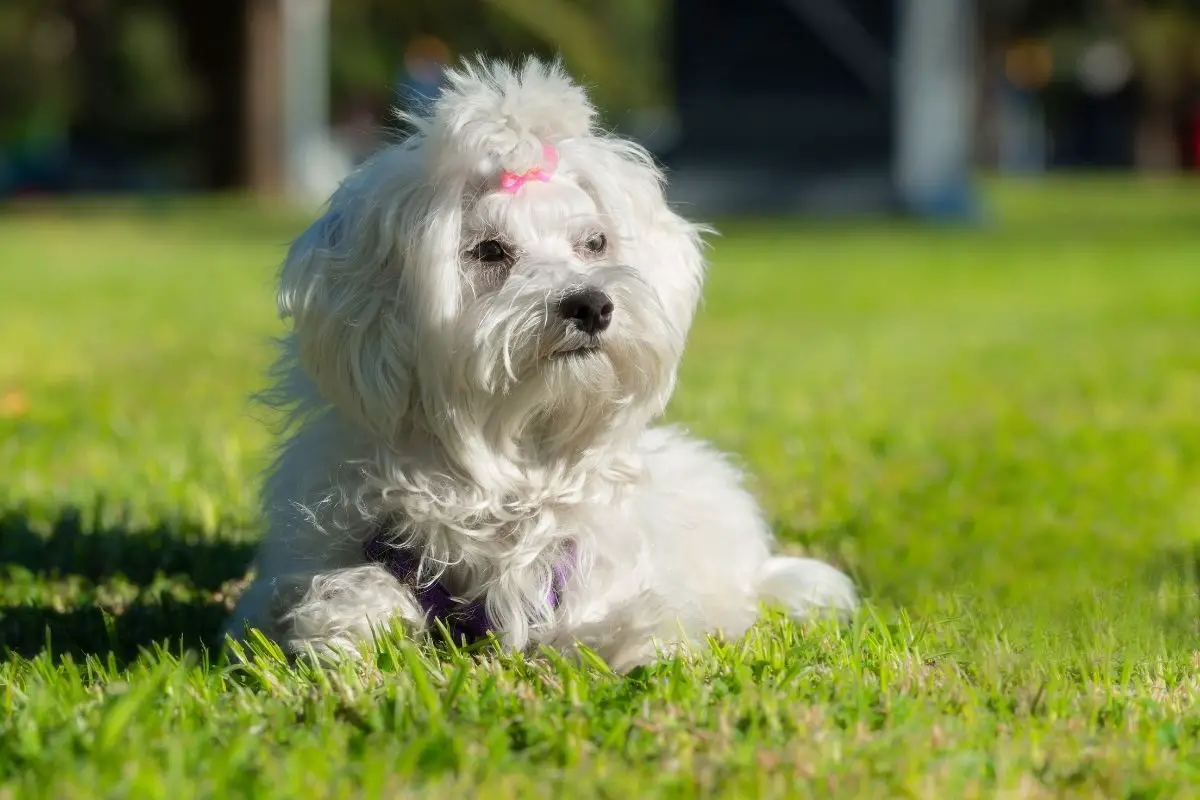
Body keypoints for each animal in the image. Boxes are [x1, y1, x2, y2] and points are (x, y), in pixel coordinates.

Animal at [225, 57, 859, 671]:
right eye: (488, 251)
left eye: (594, 244)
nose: (591, 305)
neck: (512, 459)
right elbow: (342, 587)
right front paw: (345, 625)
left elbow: (629, 614)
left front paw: (647, 642)